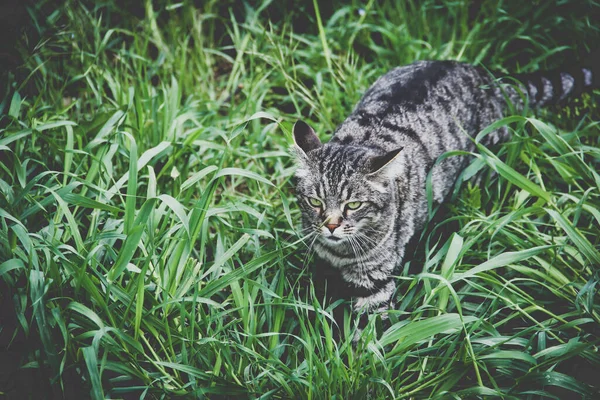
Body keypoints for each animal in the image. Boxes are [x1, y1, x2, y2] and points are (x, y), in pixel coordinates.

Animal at [290, 60, 596, 318]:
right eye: (315, 202)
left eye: (353, 205)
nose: (330, 226)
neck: (339, 255)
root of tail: (484, 74)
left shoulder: (374, 285)